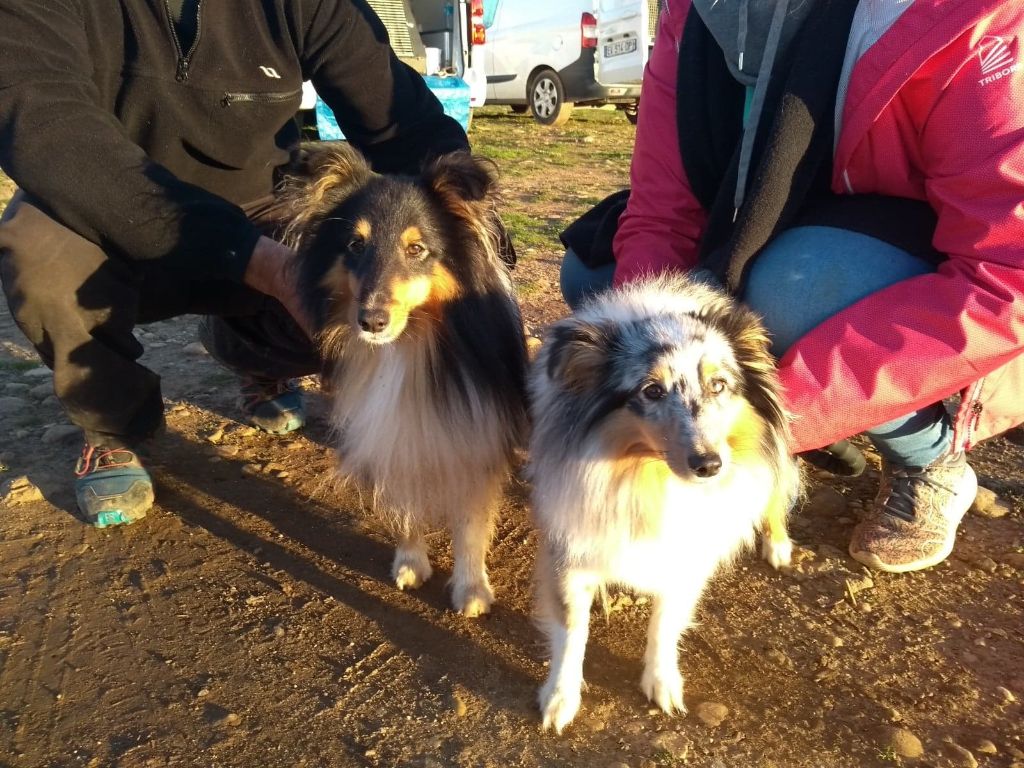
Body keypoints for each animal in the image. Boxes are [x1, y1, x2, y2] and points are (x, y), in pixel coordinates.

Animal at [280, 144, 528, 618]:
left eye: (416, 249)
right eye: (355, 244)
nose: (371, 321)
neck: (408, 345)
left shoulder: (477, 429)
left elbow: (471, 521)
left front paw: (471, 589)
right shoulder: (388, 427)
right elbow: (401, 501)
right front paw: (411, 563)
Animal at [528, 276, 798, 733]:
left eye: (719, 385)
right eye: (651, 391)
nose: (709, 465)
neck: (650, 476)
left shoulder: (685, 557)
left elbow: (665, 624)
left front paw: (662, 682)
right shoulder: (570, 550)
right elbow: (572, 630)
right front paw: (560, 698)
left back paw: (778, 544)